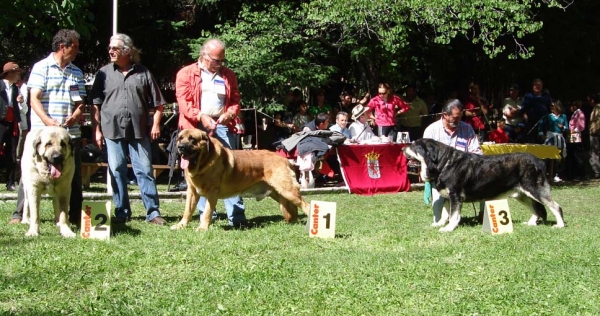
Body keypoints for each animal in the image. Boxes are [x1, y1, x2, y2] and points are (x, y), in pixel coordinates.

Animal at [169, 128, 310, 230]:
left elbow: (207, 212)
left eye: (192, 139)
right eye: (180, 138)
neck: (203, 162)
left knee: (306, 205)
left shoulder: (211, 193)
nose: (181, 147)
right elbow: (187, 211)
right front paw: (181, 225)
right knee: (292, 209)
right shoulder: (192, 192)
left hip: (287, 190)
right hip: (278, 193)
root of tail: (285, 160)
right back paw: (291, 222)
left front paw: (202, 228)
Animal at [400, 139, 564, 232]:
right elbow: (446, 214)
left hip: (535, 189)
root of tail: (539, 161)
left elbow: (453, 215)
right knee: (536, 210)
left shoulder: (455, 196)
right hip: (522, 194)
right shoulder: (447, 196)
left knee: (555, 207)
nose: (402, 148)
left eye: (414, 147)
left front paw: (449, 228)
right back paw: (530, 223)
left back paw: (560, 225)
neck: (444, 164)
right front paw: (439, 224)